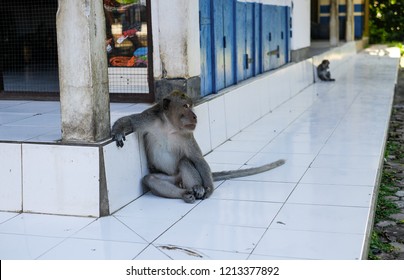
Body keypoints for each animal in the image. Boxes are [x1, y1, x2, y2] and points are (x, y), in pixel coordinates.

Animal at [112, 91, 286, 202]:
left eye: (191, 105)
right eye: (185, 106)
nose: (195, 116)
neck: (169, 126)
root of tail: (178, 180)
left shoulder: (187, 135)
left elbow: (197, 159)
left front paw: (208, 188)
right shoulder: (150, 118)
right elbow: (130, 121)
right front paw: (119, 132)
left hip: (180, 176)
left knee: (185, 161)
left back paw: (197, 188)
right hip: (171, 179)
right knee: (150, 179)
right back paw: (184, 194)